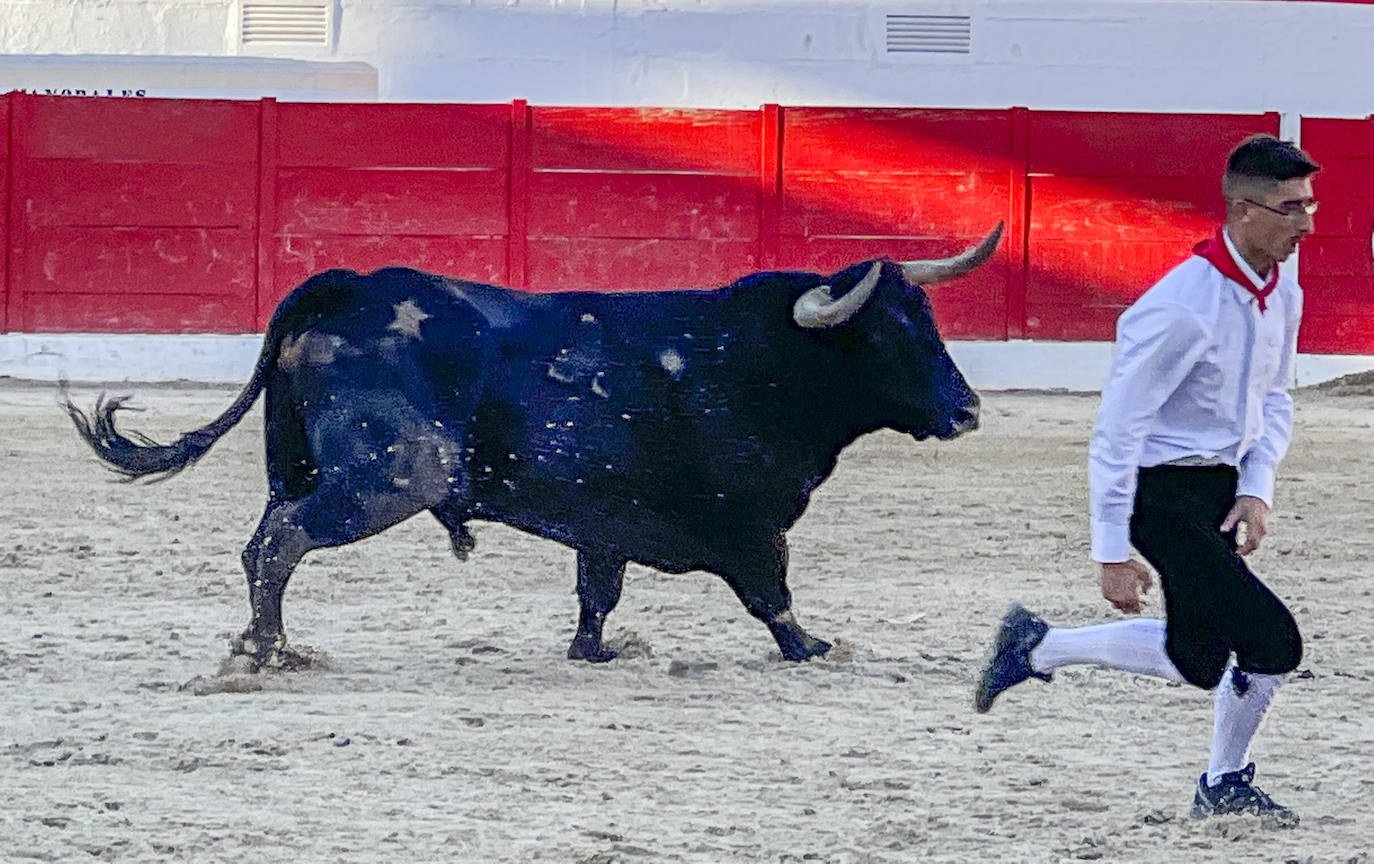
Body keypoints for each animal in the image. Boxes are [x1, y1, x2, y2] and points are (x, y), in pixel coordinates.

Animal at [66, 222, 1000, 667]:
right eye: (888, 335)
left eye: (930, 319)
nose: (967, 412)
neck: (758, 361)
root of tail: (349, 286)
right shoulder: (749, 523)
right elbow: (772, 597)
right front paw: (816, 648)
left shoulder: (607, 519)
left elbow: (597, 594)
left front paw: (595, 651)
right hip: (390, 478)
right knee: (281, 542)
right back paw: (267, 653)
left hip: (294, 466)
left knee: (264, 538)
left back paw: (264, 643)